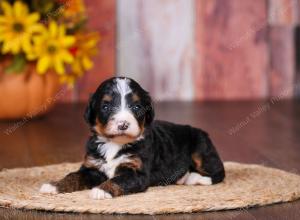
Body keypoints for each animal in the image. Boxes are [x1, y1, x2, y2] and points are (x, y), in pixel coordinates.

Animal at [39, 76, 224, 199]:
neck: (114, 143)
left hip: (201, 148)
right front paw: (54, 185)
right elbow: (74, 176)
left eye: (136, 107)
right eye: (105, 106)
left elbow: (119, 180)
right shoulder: (92, 167)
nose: (123, 124)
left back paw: (194, 178)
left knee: (218, 172)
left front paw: (101, 190)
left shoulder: (137, 172)